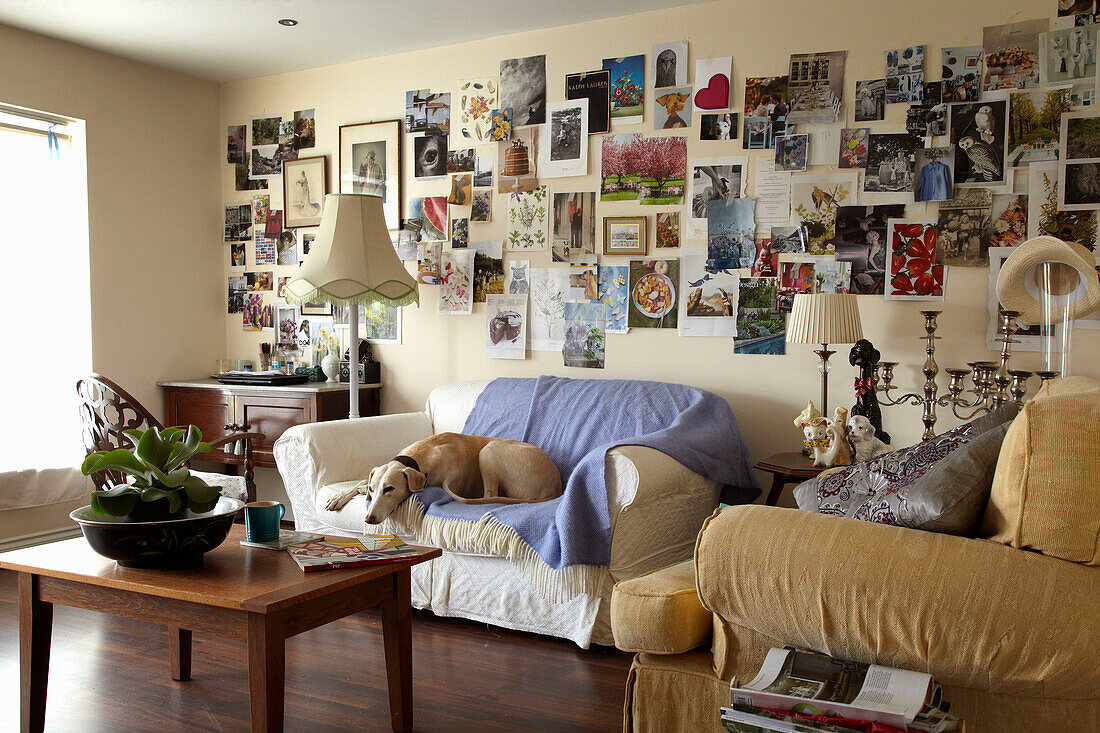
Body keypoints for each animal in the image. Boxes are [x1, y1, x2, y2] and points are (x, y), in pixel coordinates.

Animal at [319, 431, 558, 521]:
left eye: (390, 489)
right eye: (373, 489)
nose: (368, 519)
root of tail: (554, 486)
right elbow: (361, 480)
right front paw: (339, 496)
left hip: (489, 449)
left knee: (489, 495)